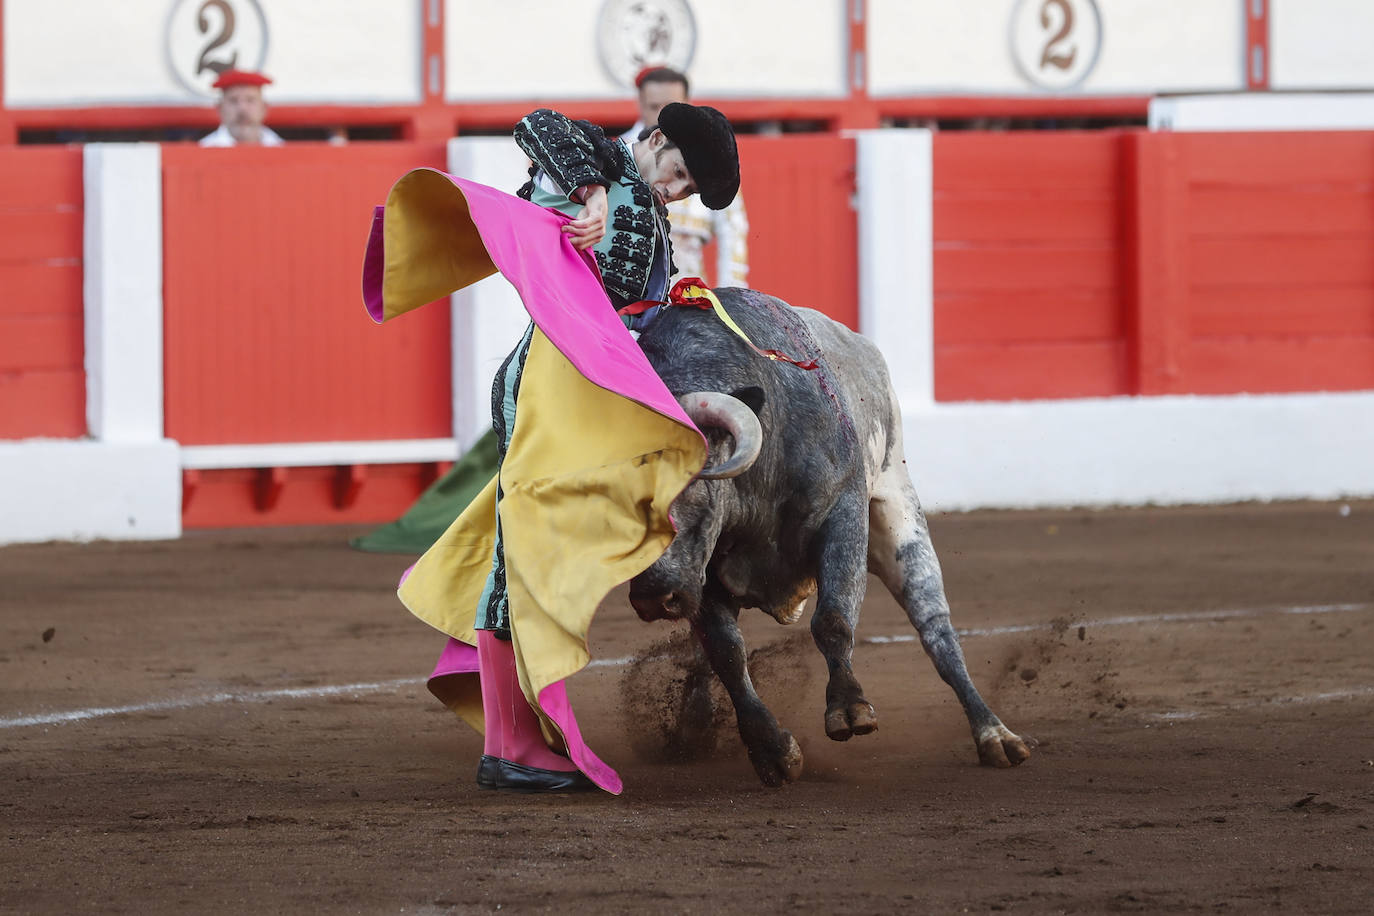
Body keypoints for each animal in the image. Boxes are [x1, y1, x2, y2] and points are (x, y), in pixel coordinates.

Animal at [626, 288, 1033, 791]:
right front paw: (772, 751)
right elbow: (726, 653)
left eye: (689, 482)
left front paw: (850, 709)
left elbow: (833, 618)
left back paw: (995, 735)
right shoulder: (700, 575)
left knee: (936, 630)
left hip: (900, 517)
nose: (651, 596)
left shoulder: (844, 515)